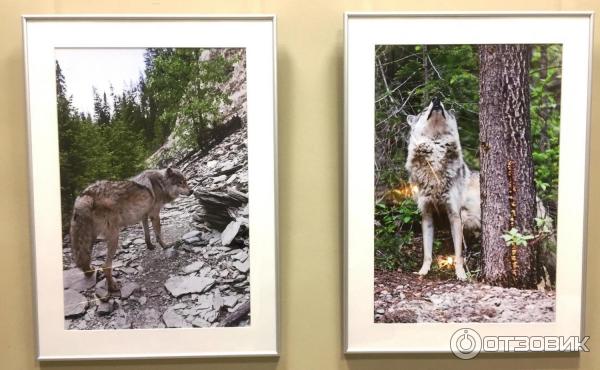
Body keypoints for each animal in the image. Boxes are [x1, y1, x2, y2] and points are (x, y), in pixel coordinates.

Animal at [406, 98, 480, 280]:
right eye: (424, 110)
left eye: (445, 108)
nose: (436, 99)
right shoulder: (426, 214)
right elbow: (427, 252)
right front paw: (423, 271)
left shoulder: (455, 215)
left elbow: (458, 254)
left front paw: (461, 274)